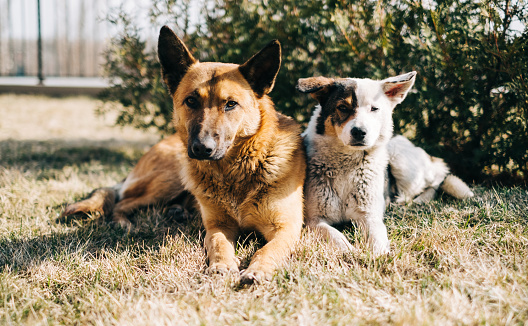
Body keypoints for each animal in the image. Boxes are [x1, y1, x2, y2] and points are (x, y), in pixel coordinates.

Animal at [60, 26, 306, 284]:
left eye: (230, 104)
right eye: (191, 101)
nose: (202, 148)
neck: (235, 173)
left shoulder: (286, 228)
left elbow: (268, 249)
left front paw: (259, 269)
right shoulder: (217, 226)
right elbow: (219, 244)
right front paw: (221, 265)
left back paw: (178, 212)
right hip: (171, 178)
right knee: (121, 203)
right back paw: (124, 223)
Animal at [296, 72, 416, 255]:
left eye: (374, 109)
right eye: (343, 108)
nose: (359, 132)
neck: (347, 163)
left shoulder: (370, 216)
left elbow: (378, 237)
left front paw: (378, 255)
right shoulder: (314, 220)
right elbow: (335, 235)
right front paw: (350, 251)